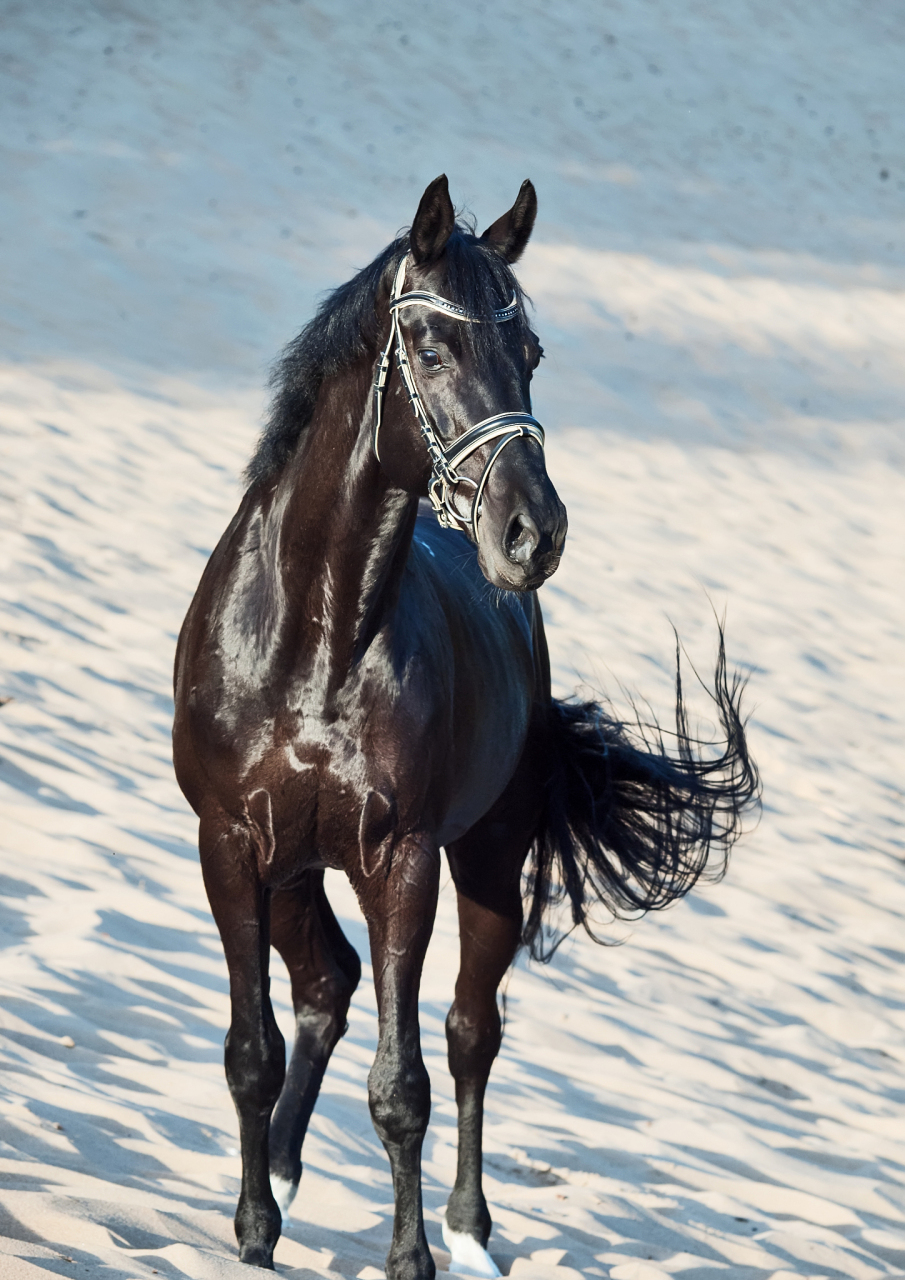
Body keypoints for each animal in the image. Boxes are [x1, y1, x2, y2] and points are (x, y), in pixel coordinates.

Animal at [171, 175, 757, 1274]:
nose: (533, 532)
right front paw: (253, 1235)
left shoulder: (402, 861)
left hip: (486, 857)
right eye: (433, 349)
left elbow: (402, 1085)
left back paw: (468, 1231)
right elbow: (249, 1052)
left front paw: (410, 1258)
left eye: (530, 353)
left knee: (467, 1031)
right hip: (292, 864)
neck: (311, 640)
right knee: (324, 984)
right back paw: (283, 1180)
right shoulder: (227, 843)